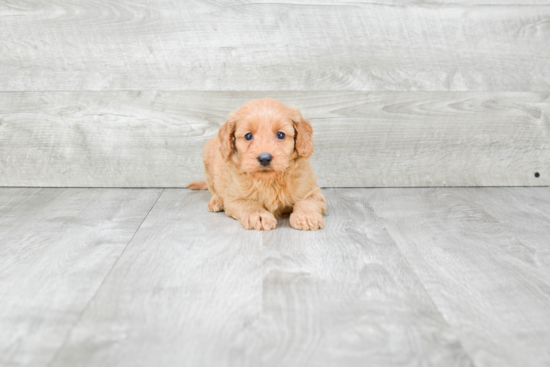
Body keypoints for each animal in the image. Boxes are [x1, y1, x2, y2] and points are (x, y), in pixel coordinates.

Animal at [190, 98, 328, 230]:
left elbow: (306, 202)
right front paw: (259, 215)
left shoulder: (311, 191)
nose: (264, 158)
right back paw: (217, 200)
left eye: (280, 135)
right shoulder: (235, 198)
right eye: (248, 136)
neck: (268, 181)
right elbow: (249, 204)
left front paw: (306, 216)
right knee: (214, 190)